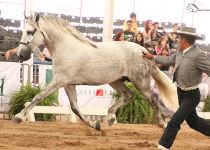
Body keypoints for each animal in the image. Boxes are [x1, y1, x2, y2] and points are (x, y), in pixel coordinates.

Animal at [13, 14, 177, 131]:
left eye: (29, 31)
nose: (20, 55)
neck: (67, 49)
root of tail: (143, 50)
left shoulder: (59, 81)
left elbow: (38, 96)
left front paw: (18, 117)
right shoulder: (68, 84)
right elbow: (75, 108)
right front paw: (95, 125)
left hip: (140, 81)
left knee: (153, 100)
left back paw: (162, 124)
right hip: (116, 81)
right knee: (128, 95)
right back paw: (109, 118)